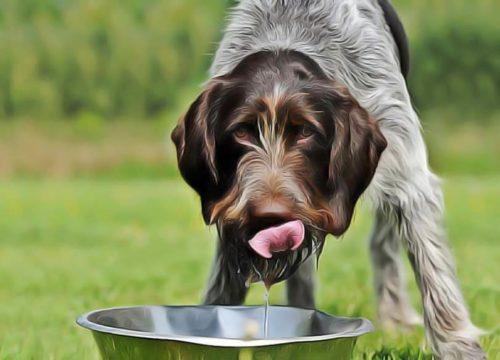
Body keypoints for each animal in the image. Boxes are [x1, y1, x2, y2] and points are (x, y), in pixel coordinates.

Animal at [172, 0, 484, 358]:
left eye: (306, 132)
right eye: (241, 132)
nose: (269, 217)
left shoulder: (409, 179)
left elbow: (435, 276)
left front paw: (459, 347)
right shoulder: (234, 210)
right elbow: (225, 281)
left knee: (382, 244)